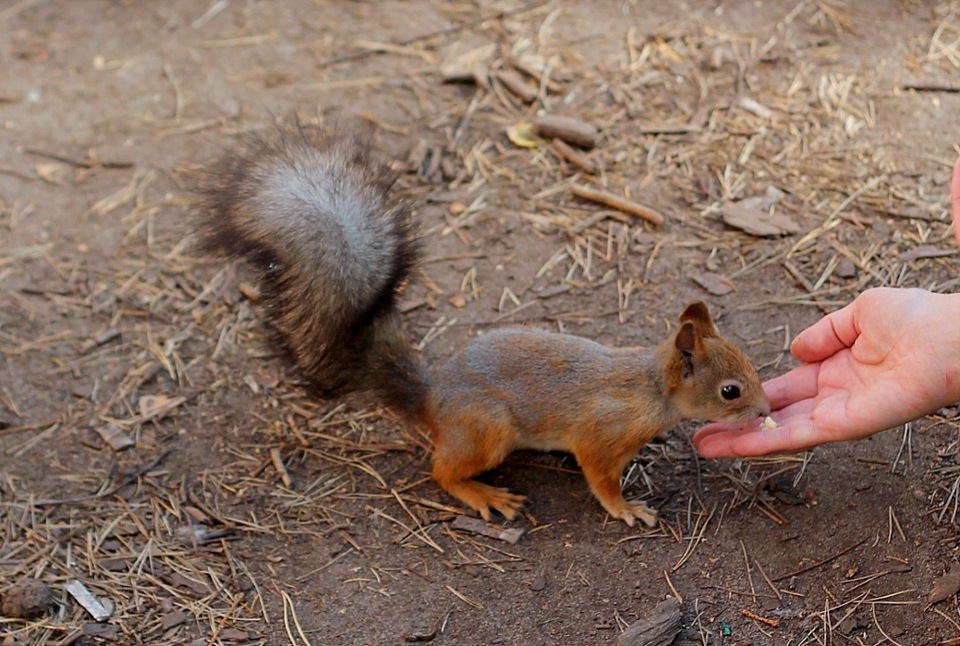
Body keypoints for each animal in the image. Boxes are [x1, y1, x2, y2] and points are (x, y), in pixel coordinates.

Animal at [197, 124, 772, 528]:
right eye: (730, 390)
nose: (766, 410)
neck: (650, 390)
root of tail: (431, 402)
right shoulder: (599, 436)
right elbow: (599, 477)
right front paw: (626, 508)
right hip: (487, 429)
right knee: (440, 471)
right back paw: (483, 494)